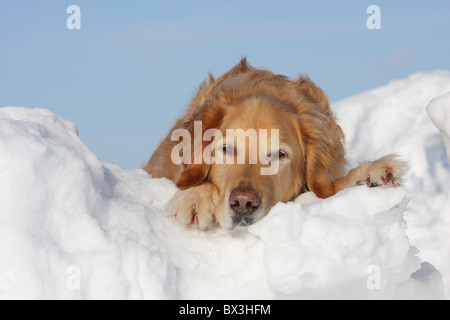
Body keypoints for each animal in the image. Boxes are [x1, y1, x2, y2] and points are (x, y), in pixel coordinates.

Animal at [146, 58, 406, 230]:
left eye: (280, 155)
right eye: (226, 149)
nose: (243, 202)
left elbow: (329, 188)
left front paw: (370, 174)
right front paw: (194, 198)